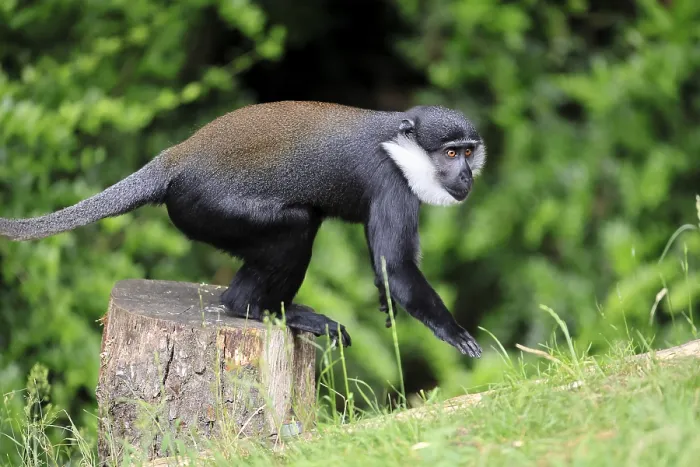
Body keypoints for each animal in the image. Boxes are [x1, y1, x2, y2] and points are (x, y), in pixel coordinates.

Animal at [0, 101, 486, 357]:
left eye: (468, 152)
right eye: (449, 154)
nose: (466, 176)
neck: (398, 142)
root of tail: (175, 160)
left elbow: (387, 269)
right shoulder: (391, 182)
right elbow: (397, 265)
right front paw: (455, 333)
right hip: (207, 208)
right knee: (296, 227)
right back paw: (253, 307)